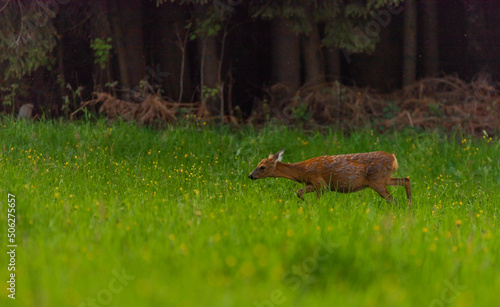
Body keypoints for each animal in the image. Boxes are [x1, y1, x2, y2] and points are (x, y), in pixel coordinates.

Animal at [248, 148, 412, 206]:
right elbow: (299, 192)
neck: (301, 171)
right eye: (258, 164)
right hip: (384, 179)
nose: (250, 175)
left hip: (377, 180)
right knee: (406, 180)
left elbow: (300, 192)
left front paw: (311, 205)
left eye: (262, 167)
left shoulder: (319, 183)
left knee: (392, 198)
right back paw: (409, 204)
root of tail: (393, 158)